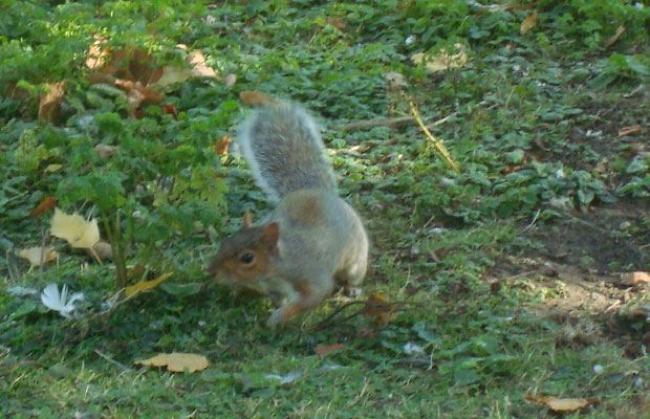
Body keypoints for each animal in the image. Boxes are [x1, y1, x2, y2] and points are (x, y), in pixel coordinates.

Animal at [209, 102, 370, 328]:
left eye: (247, 258)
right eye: (224, 242)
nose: (211, 272)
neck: (278, 266)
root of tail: (315, 191)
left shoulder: (310, 275)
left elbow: (312, 297)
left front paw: (278, 318)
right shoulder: (273, 287)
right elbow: (278, 298)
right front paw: (275, 309)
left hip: (356, 260)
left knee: (353, 274)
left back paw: (353, 288)